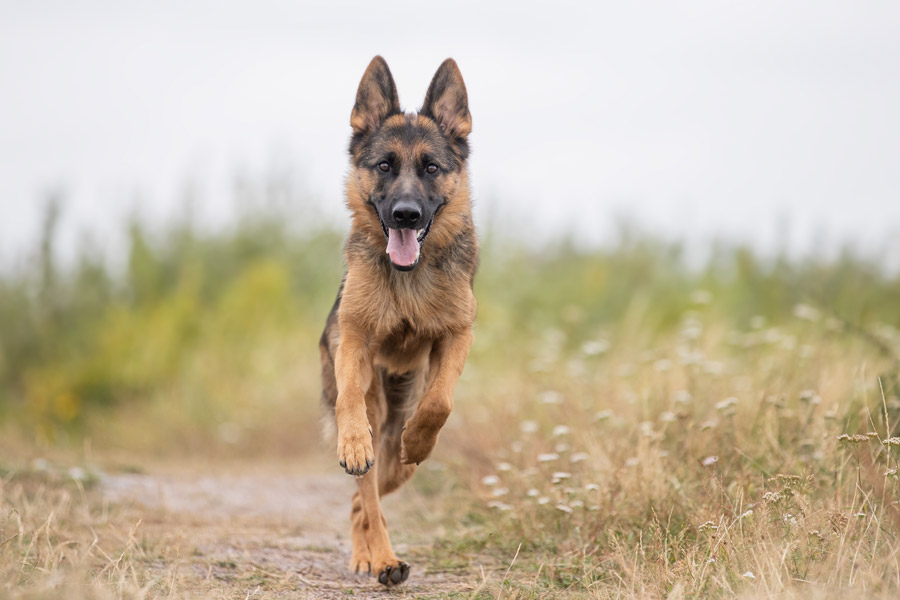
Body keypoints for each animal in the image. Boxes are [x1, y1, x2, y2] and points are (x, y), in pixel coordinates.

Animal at [318, 57, 478, 584]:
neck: (407, 281)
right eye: (384, 165)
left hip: (396, 462)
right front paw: (352, 441)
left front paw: (420, 440)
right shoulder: (354, 338)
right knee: (364, 493)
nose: (406, 215)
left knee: (366, 497)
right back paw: (381, 558)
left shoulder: (458, 335)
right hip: (374, 420)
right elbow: (349, 397)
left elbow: (440, 401)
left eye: (431, 168)